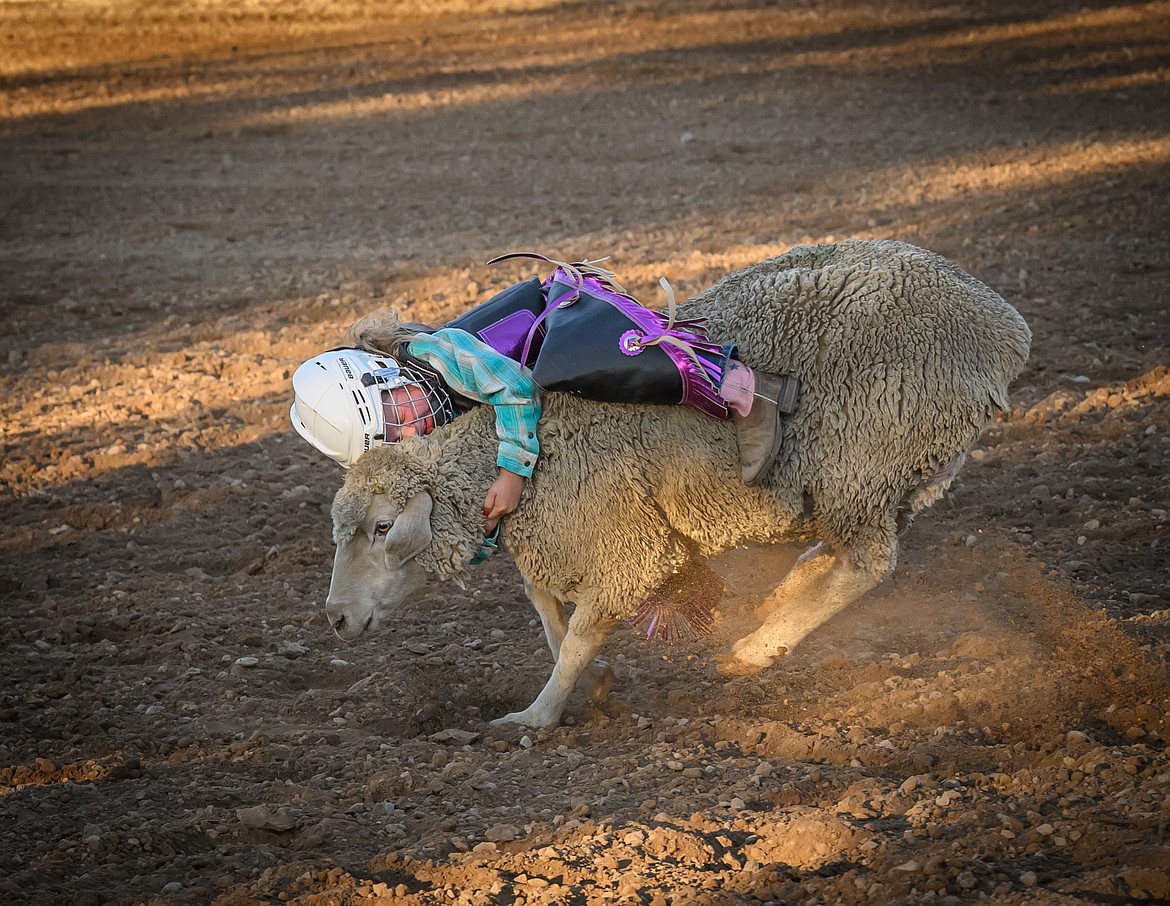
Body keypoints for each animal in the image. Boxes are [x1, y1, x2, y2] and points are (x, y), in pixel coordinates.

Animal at [325, 239, 1029, 730]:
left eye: (383, 528)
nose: (334, 619)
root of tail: (1004, 330)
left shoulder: (625, 547)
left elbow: (576, 636)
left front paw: (537, 715)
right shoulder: (562, 537)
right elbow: (547, 608)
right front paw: (588, 685)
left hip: (866, 455)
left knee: (869, 563)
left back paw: (758, 646)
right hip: (895, 474)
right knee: (850, 547)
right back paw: (787, 590)